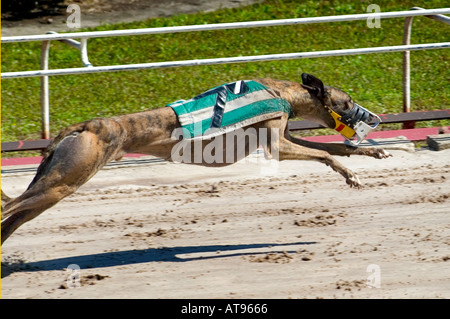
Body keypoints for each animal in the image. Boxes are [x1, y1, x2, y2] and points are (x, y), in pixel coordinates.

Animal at [0, 74, 390, 244]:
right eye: (347, 100)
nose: (374, 118)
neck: (282, 93)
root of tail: (85, 126)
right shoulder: (277, 144)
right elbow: (325, 152)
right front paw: (350, 174)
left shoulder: (286, 135)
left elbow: (339, 147)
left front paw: (373, 151)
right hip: (66, 179)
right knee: (8, 208)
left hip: (55, 185)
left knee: (12, 219)